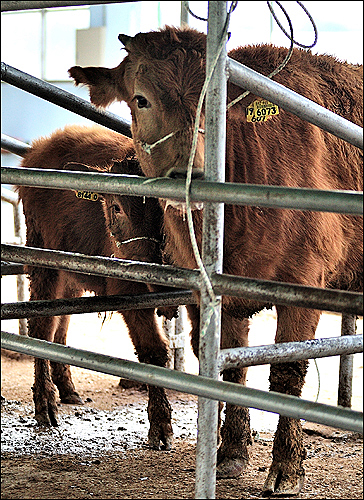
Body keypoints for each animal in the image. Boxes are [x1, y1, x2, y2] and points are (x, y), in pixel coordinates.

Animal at [15, 124, 176, 450]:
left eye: (162, 207)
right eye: (116, 207)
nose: (145, 264)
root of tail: (38, 148)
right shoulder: (128, 292)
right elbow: (153, 351)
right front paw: (161, 426)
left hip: (71, 272)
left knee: (60, 324)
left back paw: (66, 388)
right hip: (42, 259)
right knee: (41, 326)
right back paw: (45, 403)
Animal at [69, 27, 362, 496]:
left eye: (217, 103)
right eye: (141, 99)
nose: (191, 173)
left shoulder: (304, 283)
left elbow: (287, 373)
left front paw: (287, 468)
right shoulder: (211, 293)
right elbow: (231, 370)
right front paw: (230, 452)